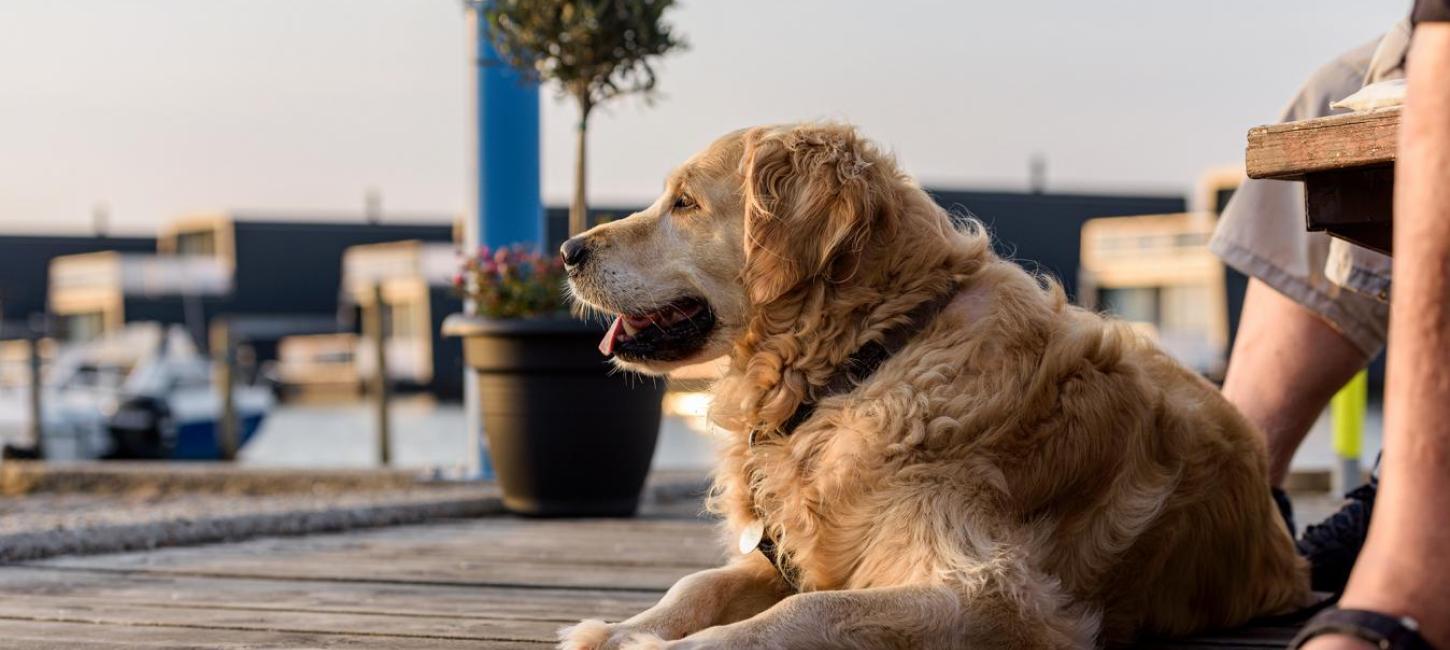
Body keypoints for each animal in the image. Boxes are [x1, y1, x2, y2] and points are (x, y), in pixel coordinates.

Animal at [556, 123, 1316, 650]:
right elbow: (700, 582)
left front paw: (658, 645)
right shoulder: (793, 550)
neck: (864, 361)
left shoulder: (1000, 597)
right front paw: (617, 630)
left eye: (684, 203)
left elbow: (805, 611)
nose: (567, 251)